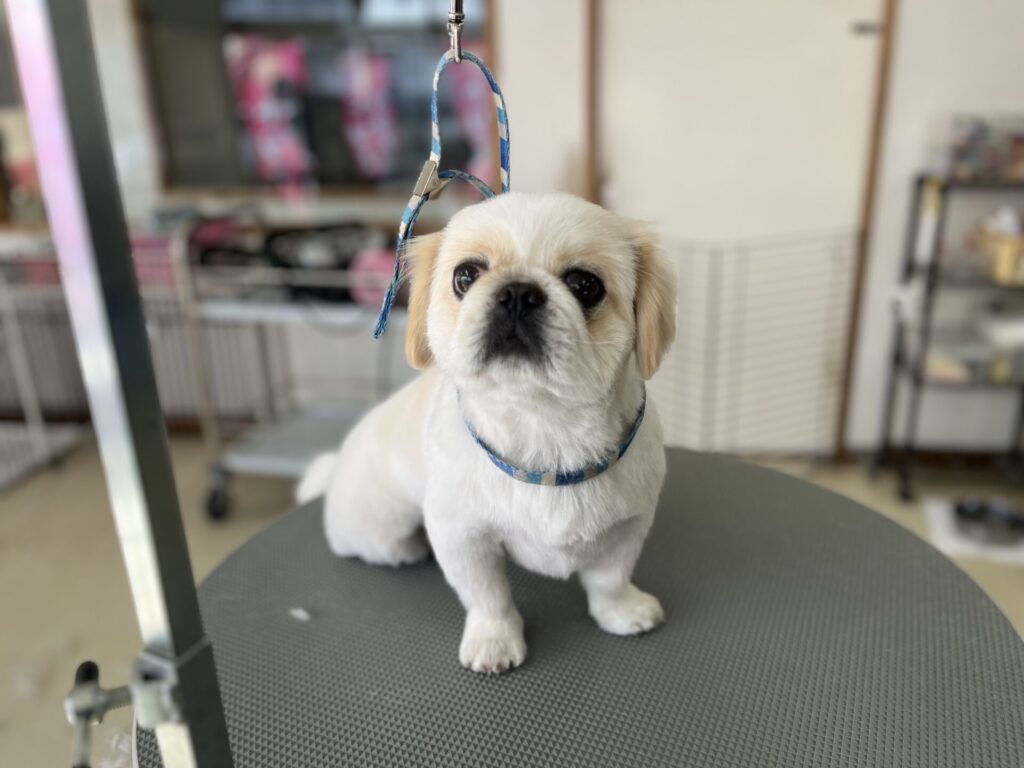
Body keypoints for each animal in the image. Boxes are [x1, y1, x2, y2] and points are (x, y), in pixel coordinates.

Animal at [298, 192, 677, 674]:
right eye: (465, 276)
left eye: (585, 285)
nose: (517, 292)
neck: (544, 429)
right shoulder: (462, 537)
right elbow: (488, 597)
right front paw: (494, 641)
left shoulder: (628, 527)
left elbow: (609, 579)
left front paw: (621, 611)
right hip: (380, 529)